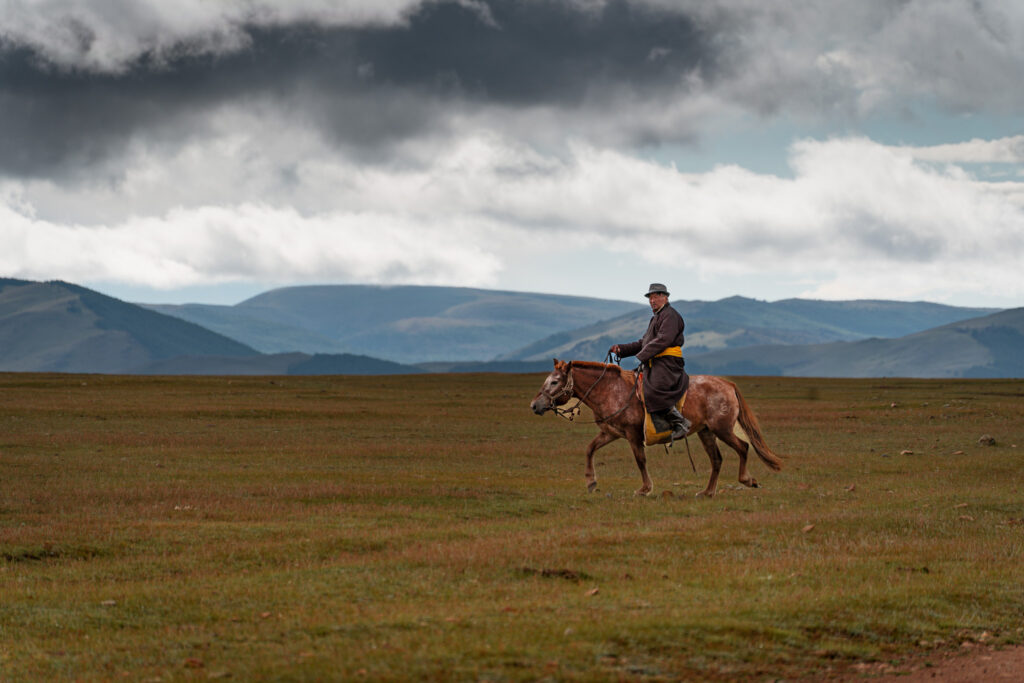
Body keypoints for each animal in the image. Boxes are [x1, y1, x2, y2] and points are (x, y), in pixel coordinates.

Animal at [529, 359, 783, 497]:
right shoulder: (611, 432)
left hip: (723, 429)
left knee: (743, 447)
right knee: (717, 459)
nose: (534, 405)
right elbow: (590, 449)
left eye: (554, 381)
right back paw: (707, 492)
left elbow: (640, 460)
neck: (610, 390)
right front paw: (591, 482)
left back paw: (747, 480)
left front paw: (644, 489)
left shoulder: (632, 434)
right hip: (706, 431)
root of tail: (728, 384)